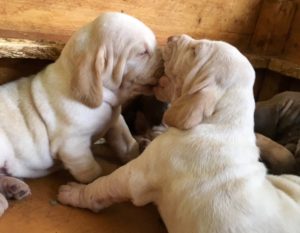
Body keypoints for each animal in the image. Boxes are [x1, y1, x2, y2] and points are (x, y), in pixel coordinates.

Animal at [0, 12, 163, 217]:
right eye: (142, 52)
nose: (168, 60)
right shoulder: (73, 146)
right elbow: (93, 170)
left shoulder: (115, 121)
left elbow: (125, 142)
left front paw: (136, 150)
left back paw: (14, 187)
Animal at [57, 35, 300, 233]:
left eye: (194, 51)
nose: (171, 38)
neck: (223, 122)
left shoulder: (136, 175)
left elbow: (103, 186)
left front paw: (74, 194)